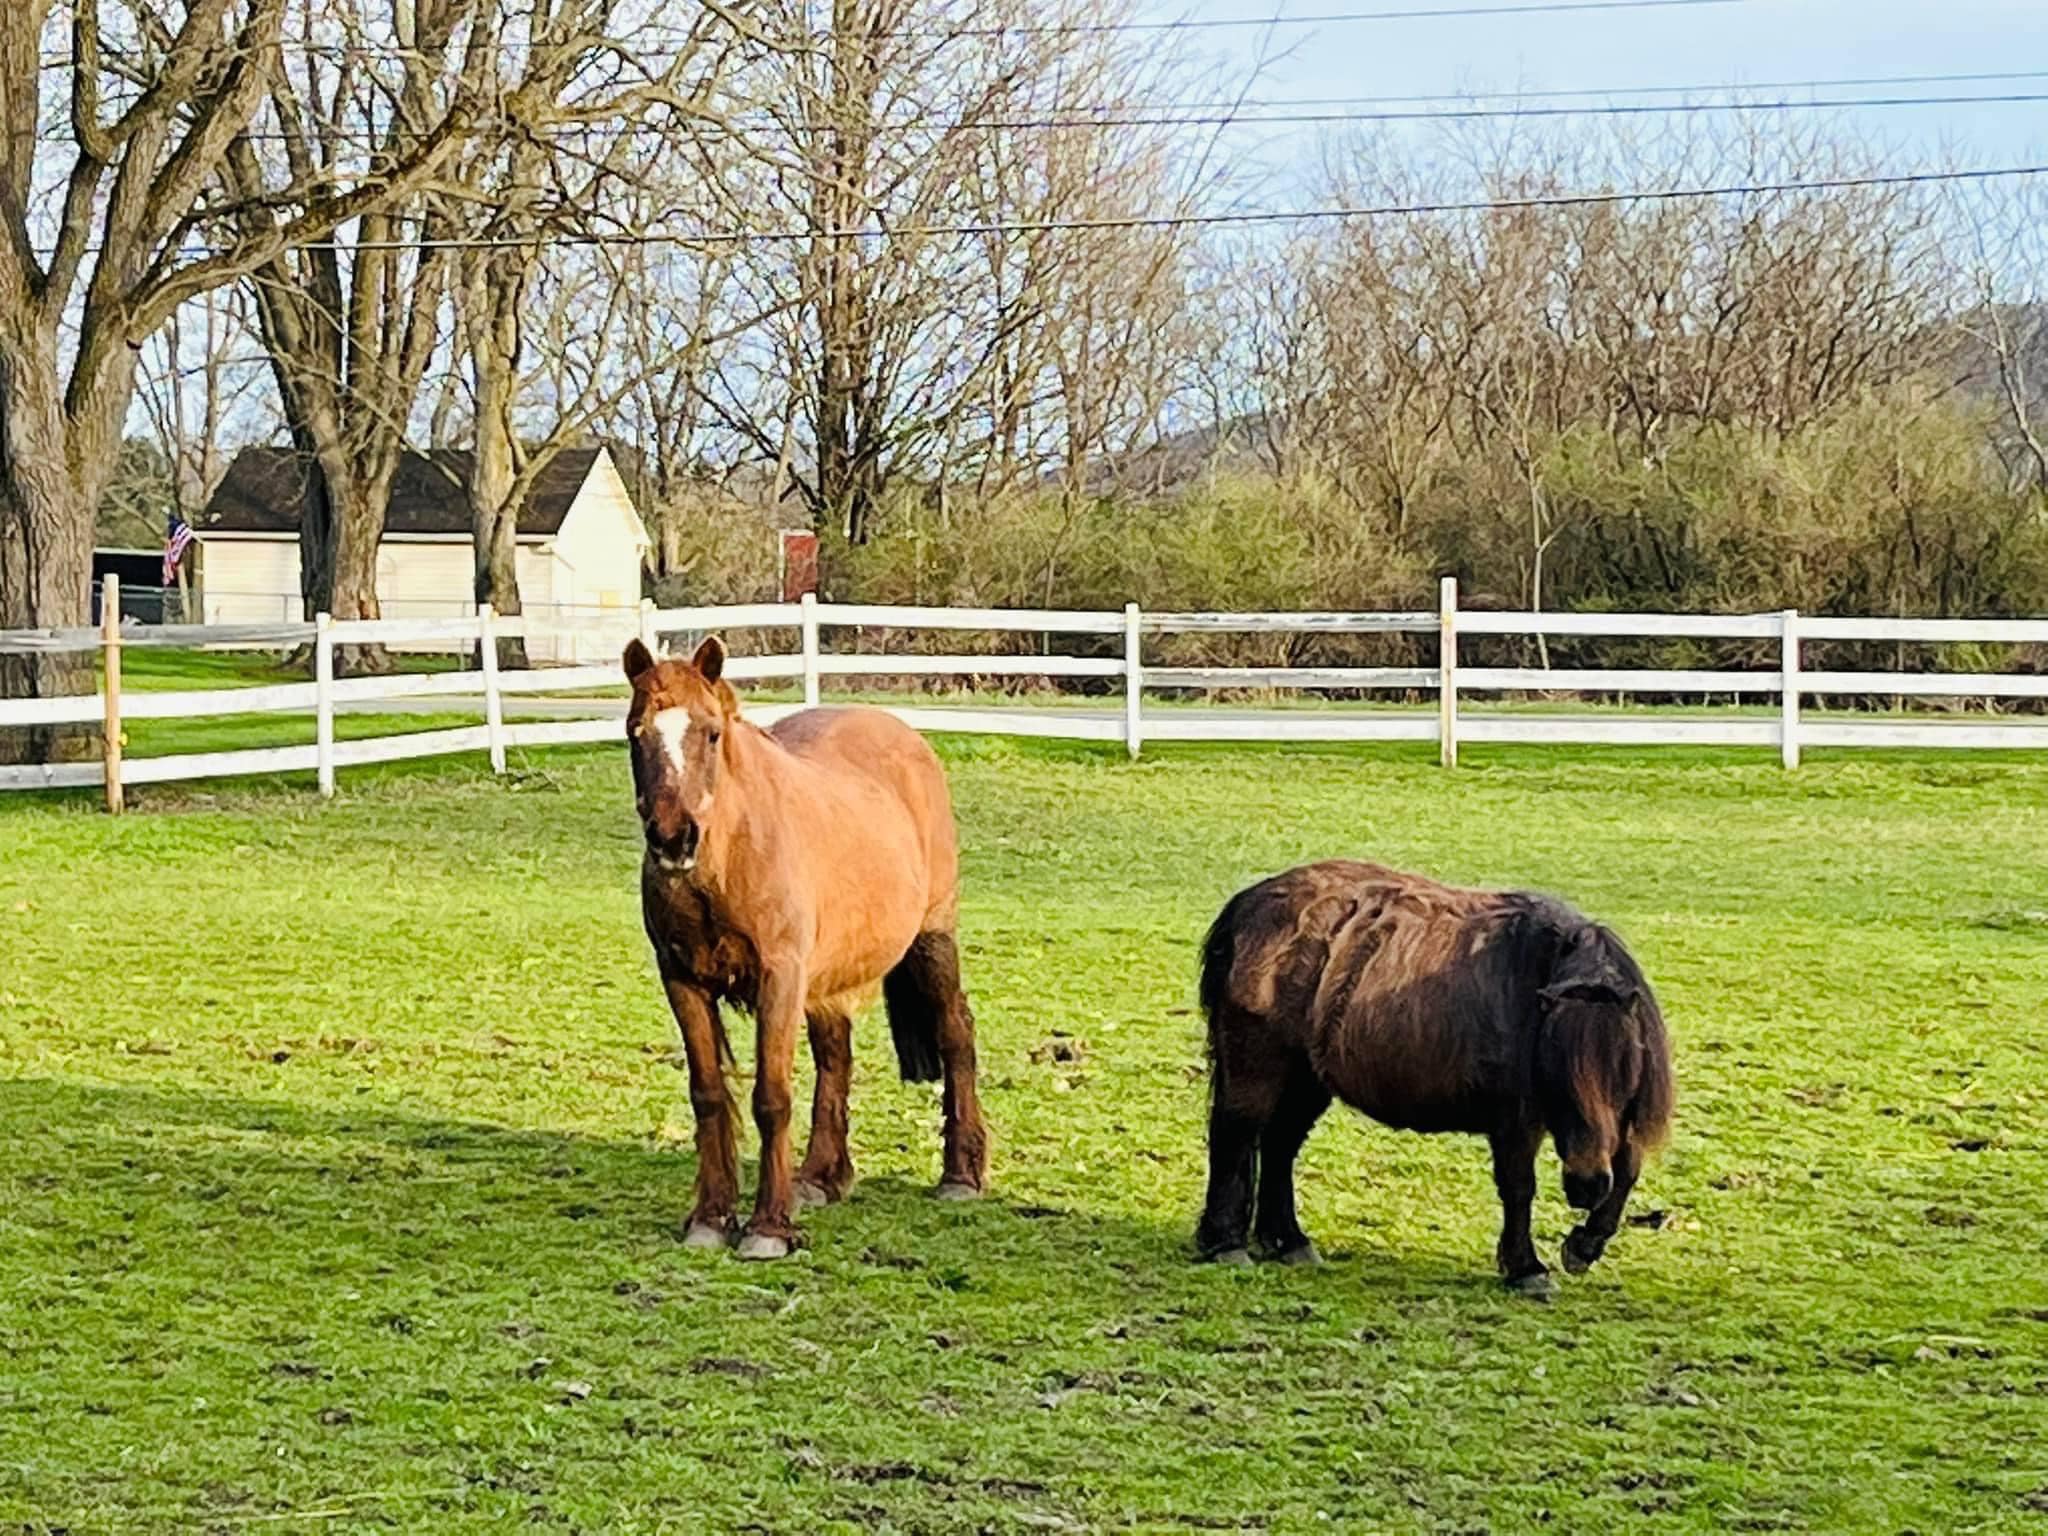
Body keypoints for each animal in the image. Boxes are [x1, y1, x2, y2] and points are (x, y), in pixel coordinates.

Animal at [624, 634, 988, 1260]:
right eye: (634, 732)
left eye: (711, 733)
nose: (673, 838)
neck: (731, 853)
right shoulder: (682, 981)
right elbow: (708, 1094)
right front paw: (711, 1218)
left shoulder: (781, 977)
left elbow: (771, 1097)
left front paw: (768, 1227)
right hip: (829, 977)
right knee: (835, 1056)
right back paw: (819, 1177)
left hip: (932, 939)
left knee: (955, 1033)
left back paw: (960, 1176)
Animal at [1193, 860, 1673, 1294]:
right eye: (1556, 1069)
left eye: (1625, 1066)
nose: (1585, 1186)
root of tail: (1246, 906)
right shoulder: (1516, 1121)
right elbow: (1519, 1188)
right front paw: (1527, 1269)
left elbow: (1628, 1170)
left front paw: (1584, 1244)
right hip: (1257, 1065)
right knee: (1236, 1135)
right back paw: (1226, 1244)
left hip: (1307, 1079)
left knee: (1280, 1145)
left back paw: (1289, 1242)